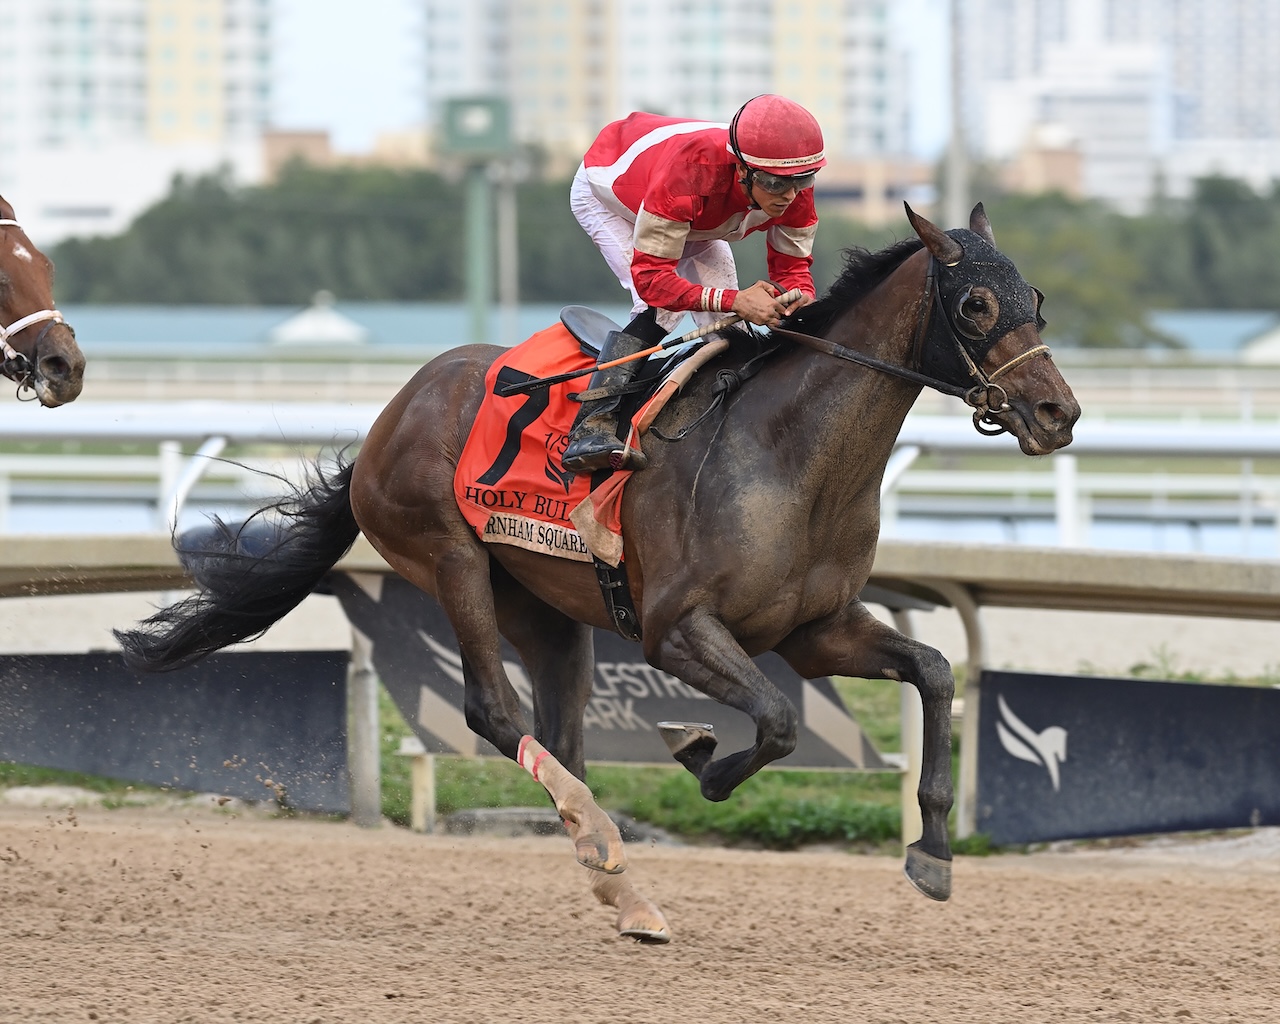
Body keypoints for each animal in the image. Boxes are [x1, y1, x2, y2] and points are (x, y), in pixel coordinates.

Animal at [117, 206, 1080, 942]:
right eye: (976, 301)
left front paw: (933, 850)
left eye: (1034, 297)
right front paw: (700, 756)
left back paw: (618, 879)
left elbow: (935, 670)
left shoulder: (816, 631)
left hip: (544, 607)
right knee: (493, 712)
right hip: (451, 558)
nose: (1057, 413)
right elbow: (774, 724)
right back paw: (608, 851)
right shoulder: (676, 631)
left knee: (560, 735)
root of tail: (392, 412)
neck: (788, 456)